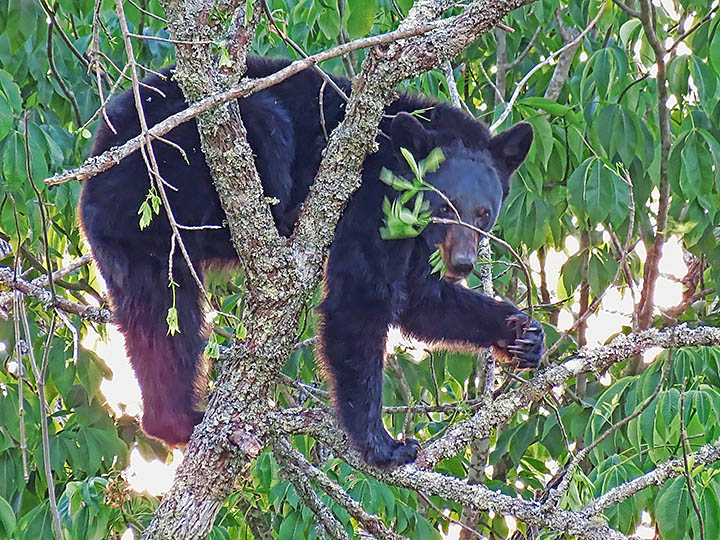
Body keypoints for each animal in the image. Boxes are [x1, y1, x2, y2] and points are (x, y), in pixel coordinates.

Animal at [80, 56, 540, 468]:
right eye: (444, 205)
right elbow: (361, 297)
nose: (463, 263)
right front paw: (383, 445)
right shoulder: (368, 197)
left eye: (483, 213)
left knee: (164, 318)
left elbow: (420, 299)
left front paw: (523, 334)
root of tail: (100, 160)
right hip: (178, 159)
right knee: (263, 123)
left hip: (138, 244)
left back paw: (175, 419)